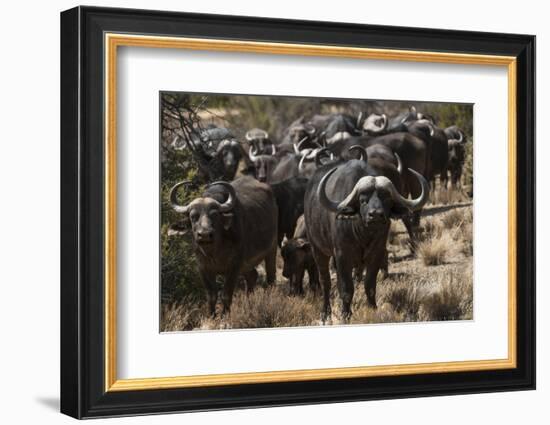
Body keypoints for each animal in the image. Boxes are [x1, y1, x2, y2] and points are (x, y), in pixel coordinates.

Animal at [169, 176, 280, 314]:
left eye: (215, 215)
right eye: (193, 216)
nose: (204, 235)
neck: (214, 252)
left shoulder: (234, 266)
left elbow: (226, 294)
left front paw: (225, 314)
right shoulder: (203, 268)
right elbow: (211, 295)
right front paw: (211, 315)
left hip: (272, 248)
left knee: (271, 278)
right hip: (247, 264)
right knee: (252, 276)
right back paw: (249, 303)